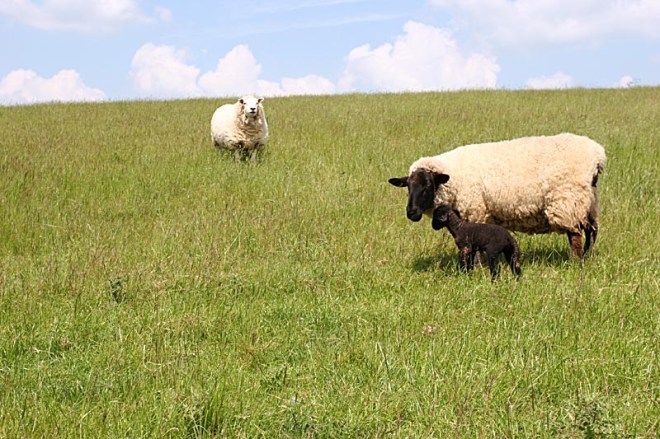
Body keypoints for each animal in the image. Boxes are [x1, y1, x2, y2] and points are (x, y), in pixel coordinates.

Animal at [388, 133, 606, 259]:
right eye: (408, 187)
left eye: (427, 186)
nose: (411, 213)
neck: (454, 177)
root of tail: (598, 156)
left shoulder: (475, 212)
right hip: (588, 201)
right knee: (591, 230)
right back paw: (588, 257)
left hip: (567, 200)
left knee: (576, 234)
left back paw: (575, 262)